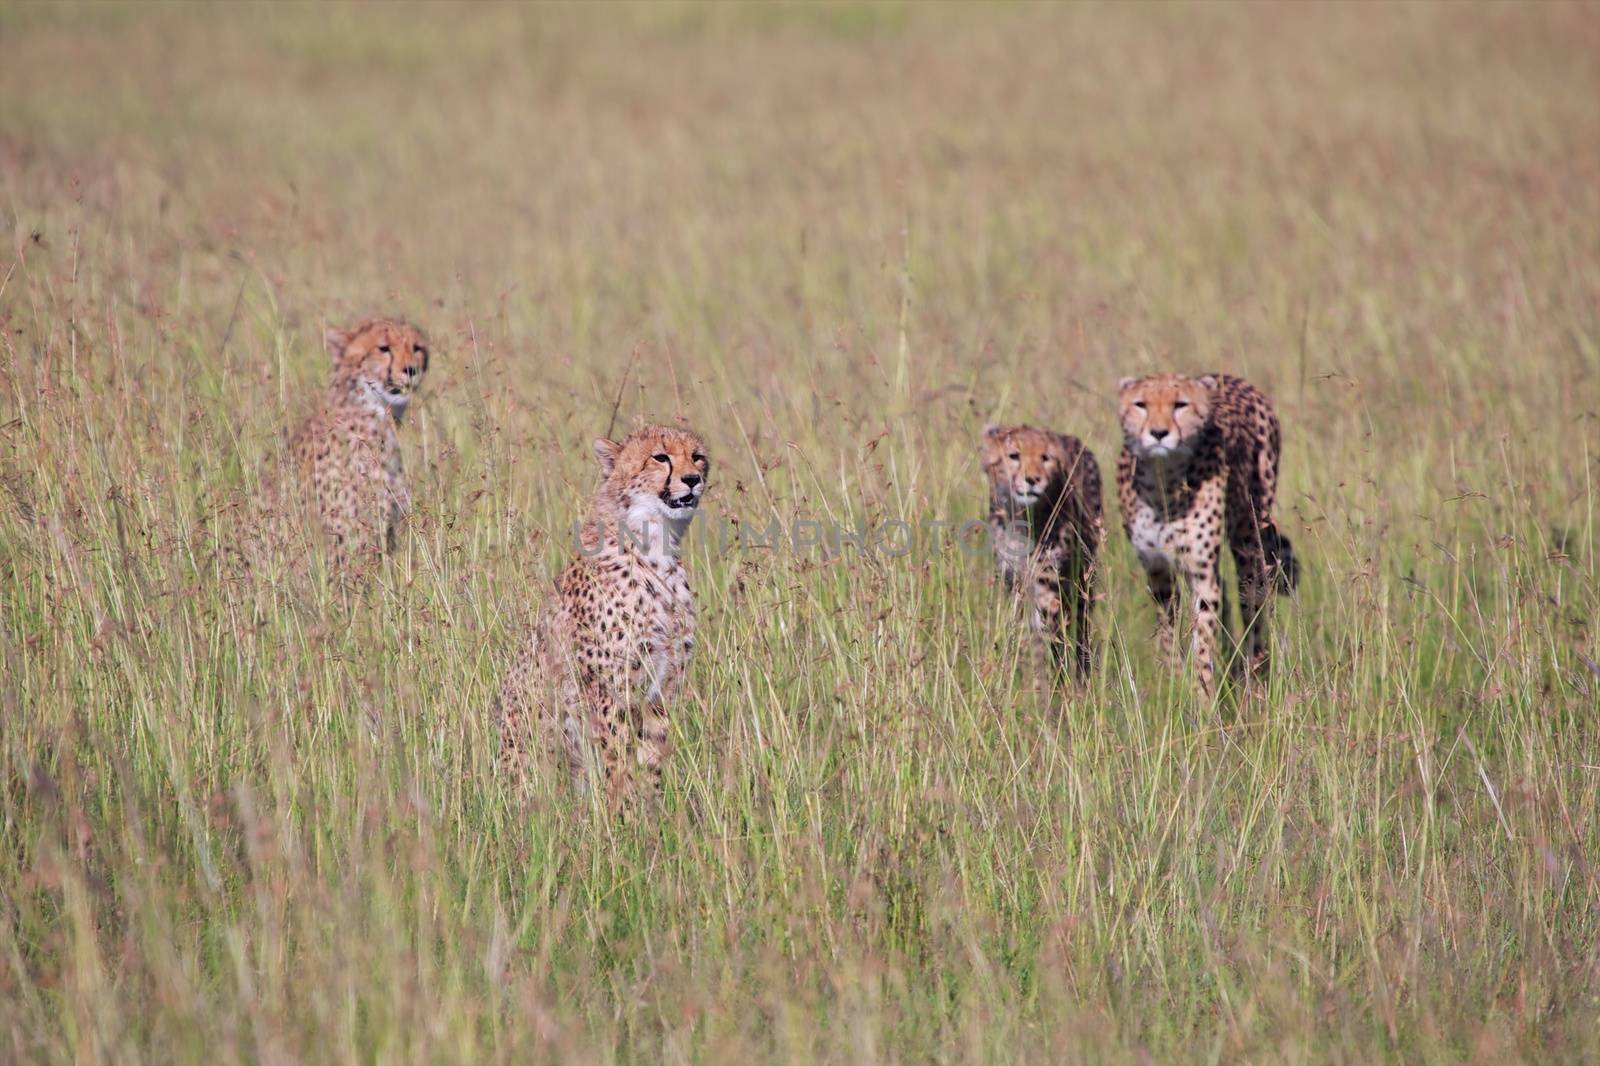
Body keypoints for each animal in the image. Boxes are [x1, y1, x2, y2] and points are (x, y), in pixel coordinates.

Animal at [492, 422, 707, 813]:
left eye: (697, 456)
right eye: (660, 457)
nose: (692, 479)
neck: (656, 548)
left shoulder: (663, 687)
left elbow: (651, 757)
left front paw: (652, 814)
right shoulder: (607, 689)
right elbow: (617, 758)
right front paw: (623, 813)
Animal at [979, 422, 1107, 681]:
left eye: (1045, 458)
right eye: (1014, 455)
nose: (1032, 479)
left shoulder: (1048, 582)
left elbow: (1046, 630)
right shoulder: (1015, 583)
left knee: (1080, 626)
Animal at [1113, 372, 1299, 697]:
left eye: (1180, 404)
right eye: (1140, 404)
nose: (1159, 433)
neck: (1163, 479)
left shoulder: (1201, 571)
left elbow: (1202, 640)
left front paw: (1202, 697)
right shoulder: (1157, 570)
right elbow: (1168, 636)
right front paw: (1174, 684)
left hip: (1249, 539)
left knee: (1253, 606)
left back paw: (1254, 676)